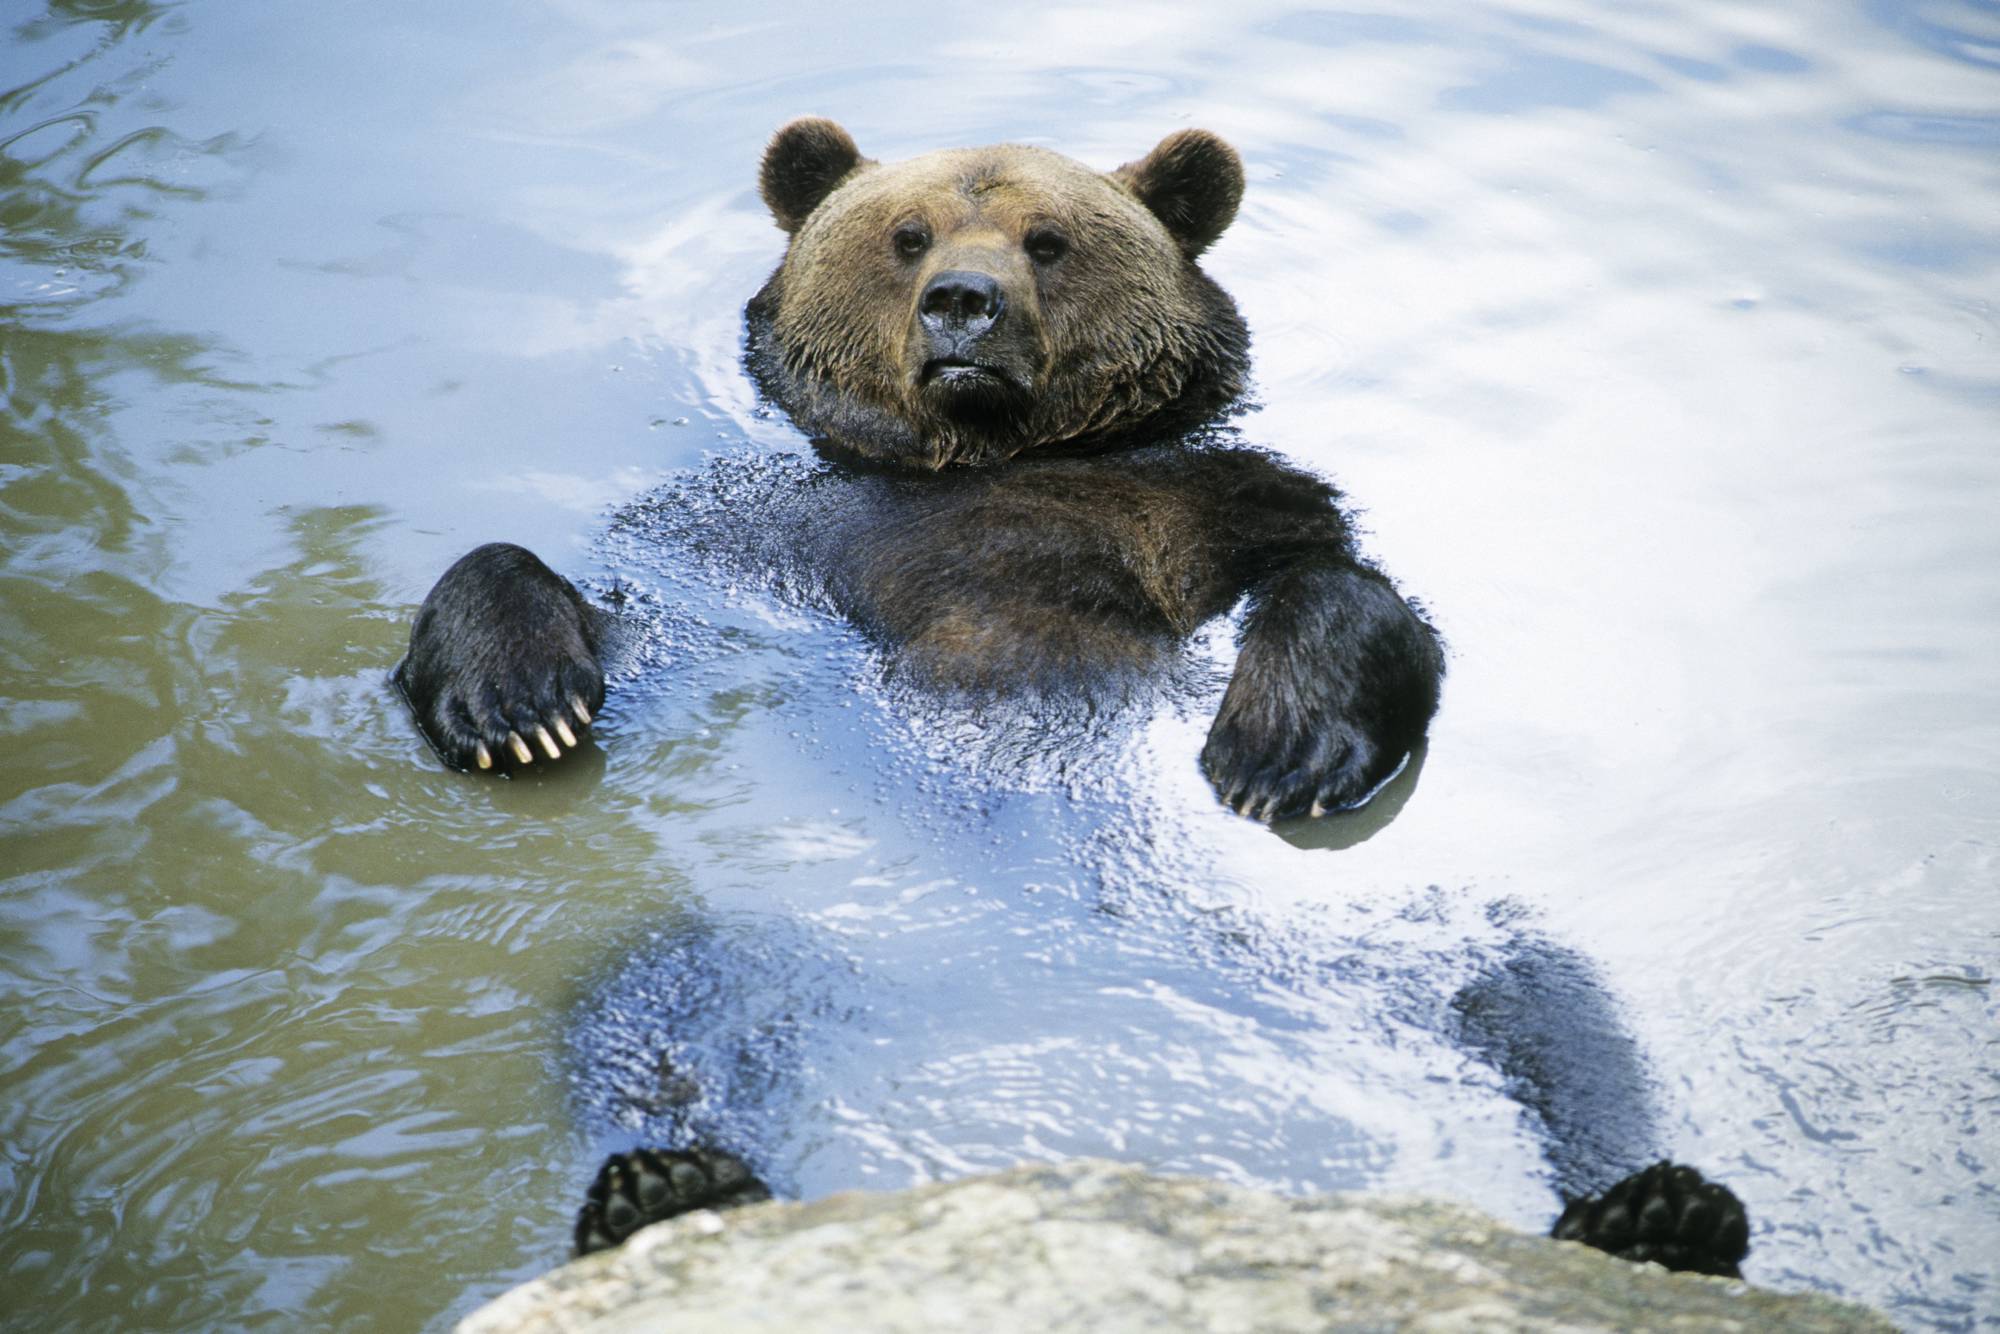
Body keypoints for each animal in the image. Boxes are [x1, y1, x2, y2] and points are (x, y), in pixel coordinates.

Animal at [398, 120, 1448, 820]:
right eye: (907, 236)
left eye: (1047, 240)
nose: (964, 300)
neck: (980, 455)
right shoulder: (750, 551)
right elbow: (612, 613)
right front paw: (517, 708)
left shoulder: (1223, 510)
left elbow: (1344, 588)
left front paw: (1279, 750)